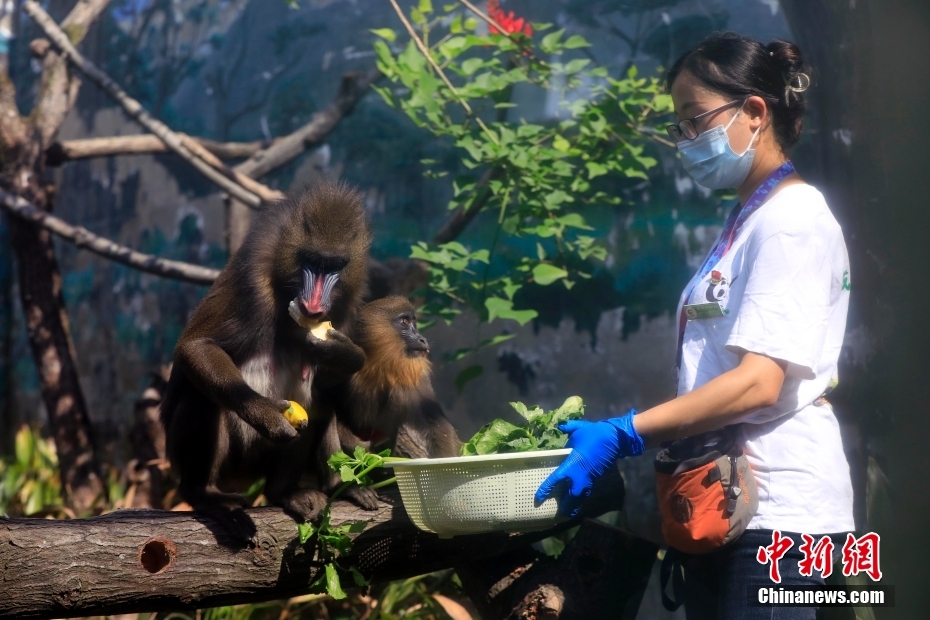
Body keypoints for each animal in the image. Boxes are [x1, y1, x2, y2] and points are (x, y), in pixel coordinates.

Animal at [161, 182, 372, 540]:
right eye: (310, 260)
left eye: (335, 265)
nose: (314, 306)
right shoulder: (250, 286)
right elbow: (197, 347)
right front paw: (267, 415)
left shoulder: (345, 305)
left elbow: (329, 382)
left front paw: (342, 354)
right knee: (200, 394)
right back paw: (206, 496)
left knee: (316, 403)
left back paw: (290, 491)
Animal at [334, 296, 464, 460]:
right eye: (405, 322)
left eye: (414, 322)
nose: (422, 339)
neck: (378, 365)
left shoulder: (418, 377)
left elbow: (437, 423)